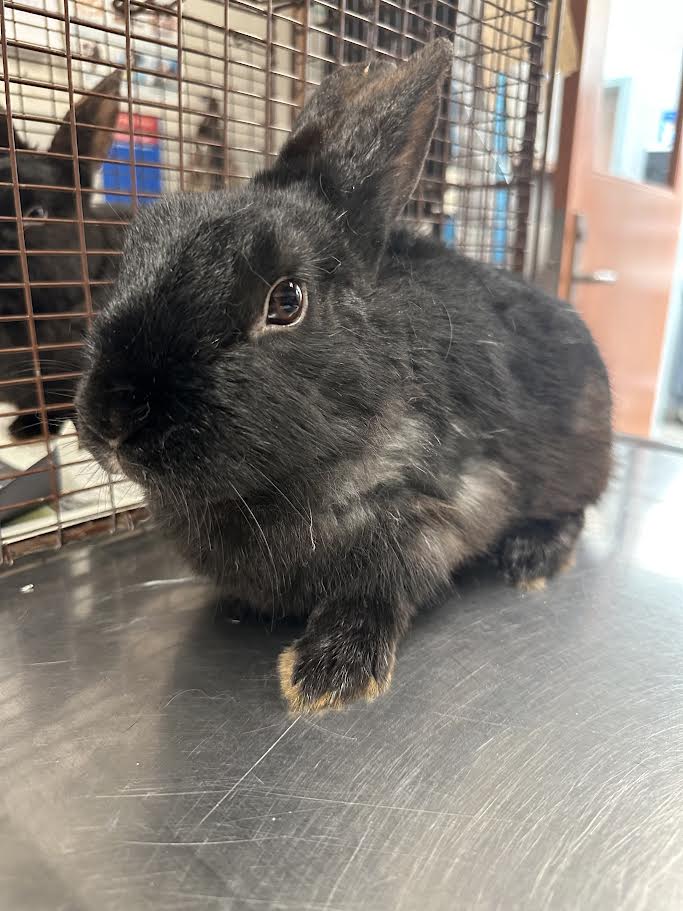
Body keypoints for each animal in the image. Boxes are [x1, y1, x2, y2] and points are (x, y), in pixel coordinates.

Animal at [76, 41, 616, 712]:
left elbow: (375, 595)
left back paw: (532, 557)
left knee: (576, 510)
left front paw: (327, 677)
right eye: (133, 250)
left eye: (286, 302)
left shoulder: (422, 519)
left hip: (577, 461)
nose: (113, 420)